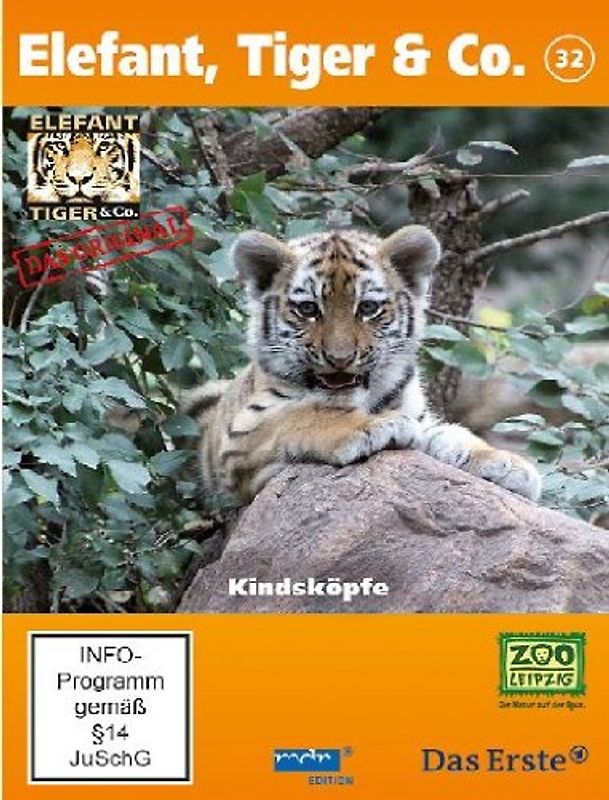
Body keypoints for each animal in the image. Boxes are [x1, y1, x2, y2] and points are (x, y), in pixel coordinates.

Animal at [183, 225, 541, 506]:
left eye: (368, 308)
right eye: (308, 309)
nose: (339, 358)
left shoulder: (420, 419)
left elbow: (452, 435)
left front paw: (507, 463)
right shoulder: (239, 436)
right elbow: (301, 416)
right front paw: (372, 426)